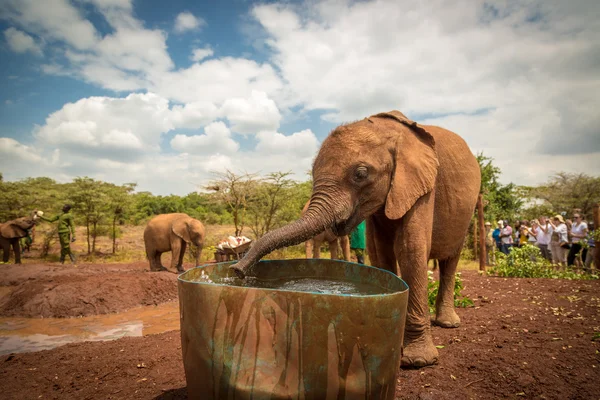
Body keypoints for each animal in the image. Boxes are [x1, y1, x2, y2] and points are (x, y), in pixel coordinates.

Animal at [232, 109, 480, 368]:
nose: (236, 270)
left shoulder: (421, 185)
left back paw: (448, 323)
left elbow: (410, 250)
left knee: (450, 261)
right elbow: (380, 251)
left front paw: (418, 361)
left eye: (360, 174)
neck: (385, 129)